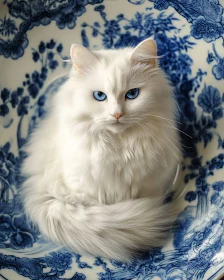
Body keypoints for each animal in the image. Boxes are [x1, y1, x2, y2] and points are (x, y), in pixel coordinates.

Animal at [21, 38, 182, 262]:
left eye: (132, 94)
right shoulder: (83, 188)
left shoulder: (151, 185)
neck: (119, 147)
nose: (117, 114)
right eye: (99, 96)